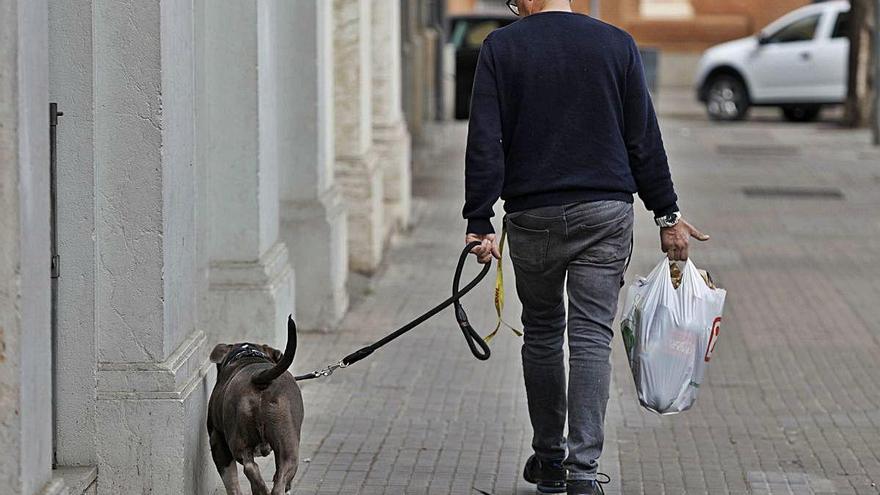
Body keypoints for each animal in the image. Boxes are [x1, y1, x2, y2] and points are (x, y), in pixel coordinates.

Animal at [208, 318, 304, 495]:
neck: (247, 354)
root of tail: (259, 377)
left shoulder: (217, 440)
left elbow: (231, 481)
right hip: (288, 445)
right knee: (278, 476)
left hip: (237, 439)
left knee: (249, 467)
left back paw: (261, 489)